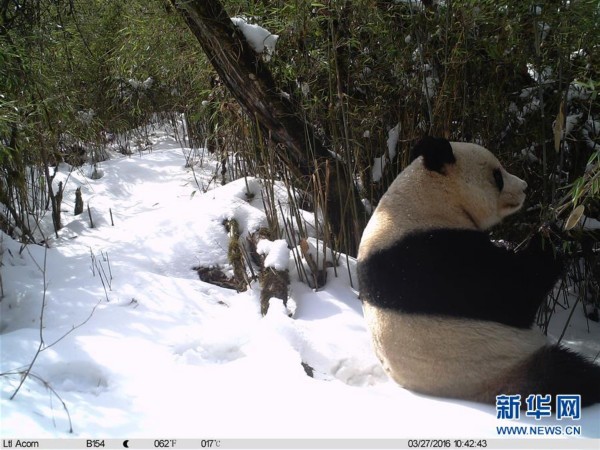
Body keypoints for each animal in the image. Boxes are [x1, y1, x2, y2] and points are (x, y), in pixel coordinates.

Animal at [358, 137, 596, 408]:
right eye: (497, 175)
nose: (524, 187)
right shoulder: (432, 256)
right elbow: (512, 293)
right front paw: (557, 230)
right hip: (499, 365)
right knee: (566, 375)